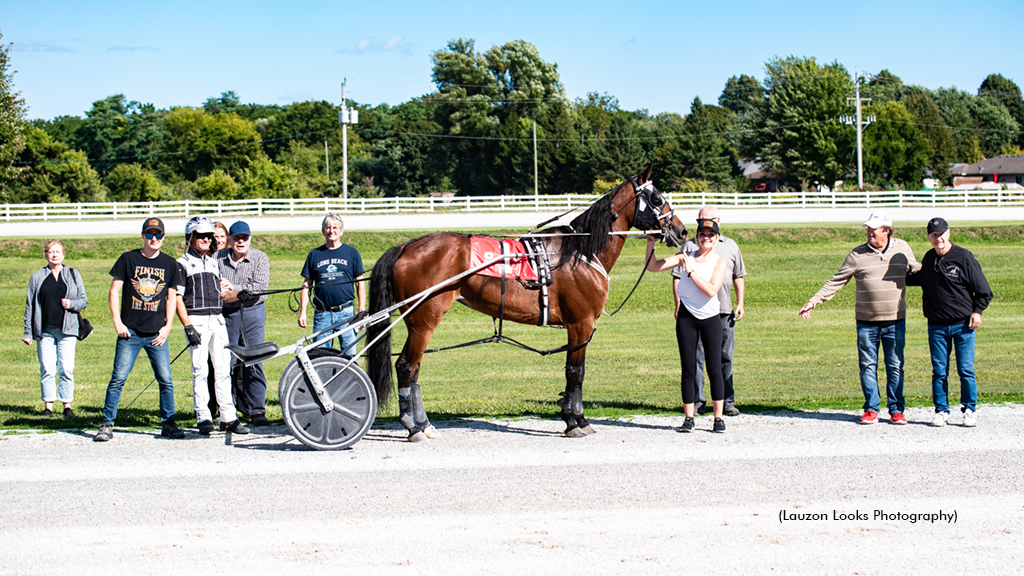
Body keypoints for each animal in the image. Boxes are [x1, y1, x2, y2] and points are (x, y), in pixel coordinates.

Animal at [368, 166, 688, 438]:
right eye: (656, 197)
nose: (681, 230)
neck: (579, 252)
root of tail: (406, 246)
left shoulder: (579, 327)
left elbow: (575, 373)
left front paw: (574, 417)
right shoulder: (580, 324)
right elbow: (576, 373)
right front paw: (576, 421)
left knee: (415, 369)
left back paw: (423, 422)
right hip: (423, 320)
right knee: (406, 366)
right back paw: (413, 426)